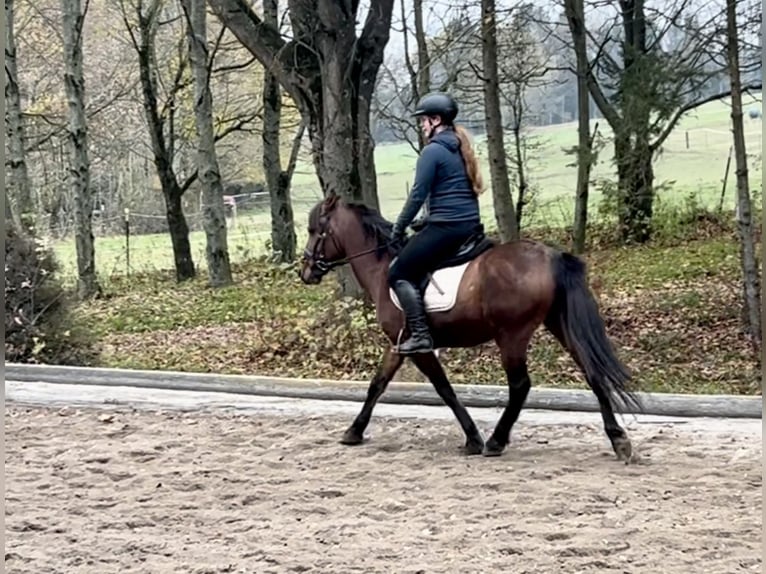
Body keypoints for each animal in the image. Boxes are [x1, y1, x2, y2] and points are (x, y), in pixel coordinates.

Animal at [300, 195, 640, 464]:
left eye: (314, 230)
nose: (306, 272)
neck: (382, 268)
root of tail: (550, 255)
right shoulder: (397, 343)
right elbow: (377, 384)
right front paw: (353, 431)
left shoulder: (419, 347)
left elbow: (444, 390)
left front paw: (473, 438)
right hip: (558, 324)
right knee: (592, 372)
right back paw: (618, 440)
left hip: (511, 335)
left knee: (520, 386)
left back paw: (496, 441)